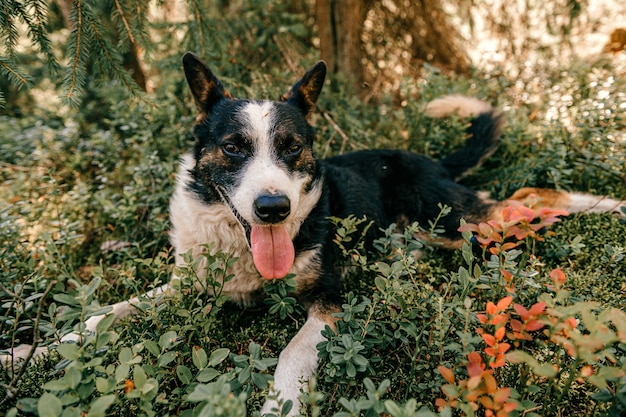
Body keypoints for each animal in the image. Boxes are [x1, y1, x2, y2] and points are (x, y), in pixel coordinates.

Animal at [4, 53, 624, 414]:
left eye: (292, 147)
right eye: (233, 147)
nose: (273, 208)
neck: (242, 249)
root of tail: (428, 160)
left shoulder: (328, 302)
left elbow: (291, 353)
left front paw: (279, 404)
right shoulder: (187, 287)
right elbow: (102, 317)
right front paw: (27, 353)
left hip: (458, 224)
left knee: (532, 198)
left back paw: (609, 203)